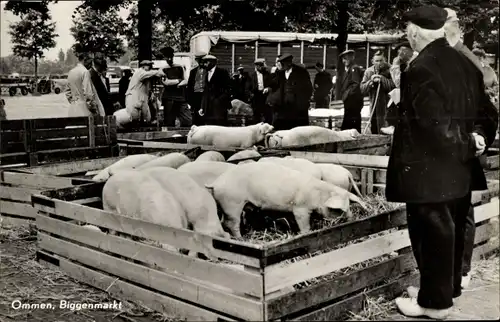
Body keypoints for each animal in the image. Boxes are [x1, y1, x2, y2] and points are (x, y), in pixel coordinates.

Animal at [207, 162, 368, 238]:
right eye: (338, 210)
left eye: (349, 206)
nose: (351, 219)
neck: (318, 194)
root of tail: (215, 183)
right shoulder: (300, 208)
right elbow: (304, 225)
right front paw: (305, 233)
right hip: (232, 203)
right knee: (231, 222)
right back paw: (241, 238)